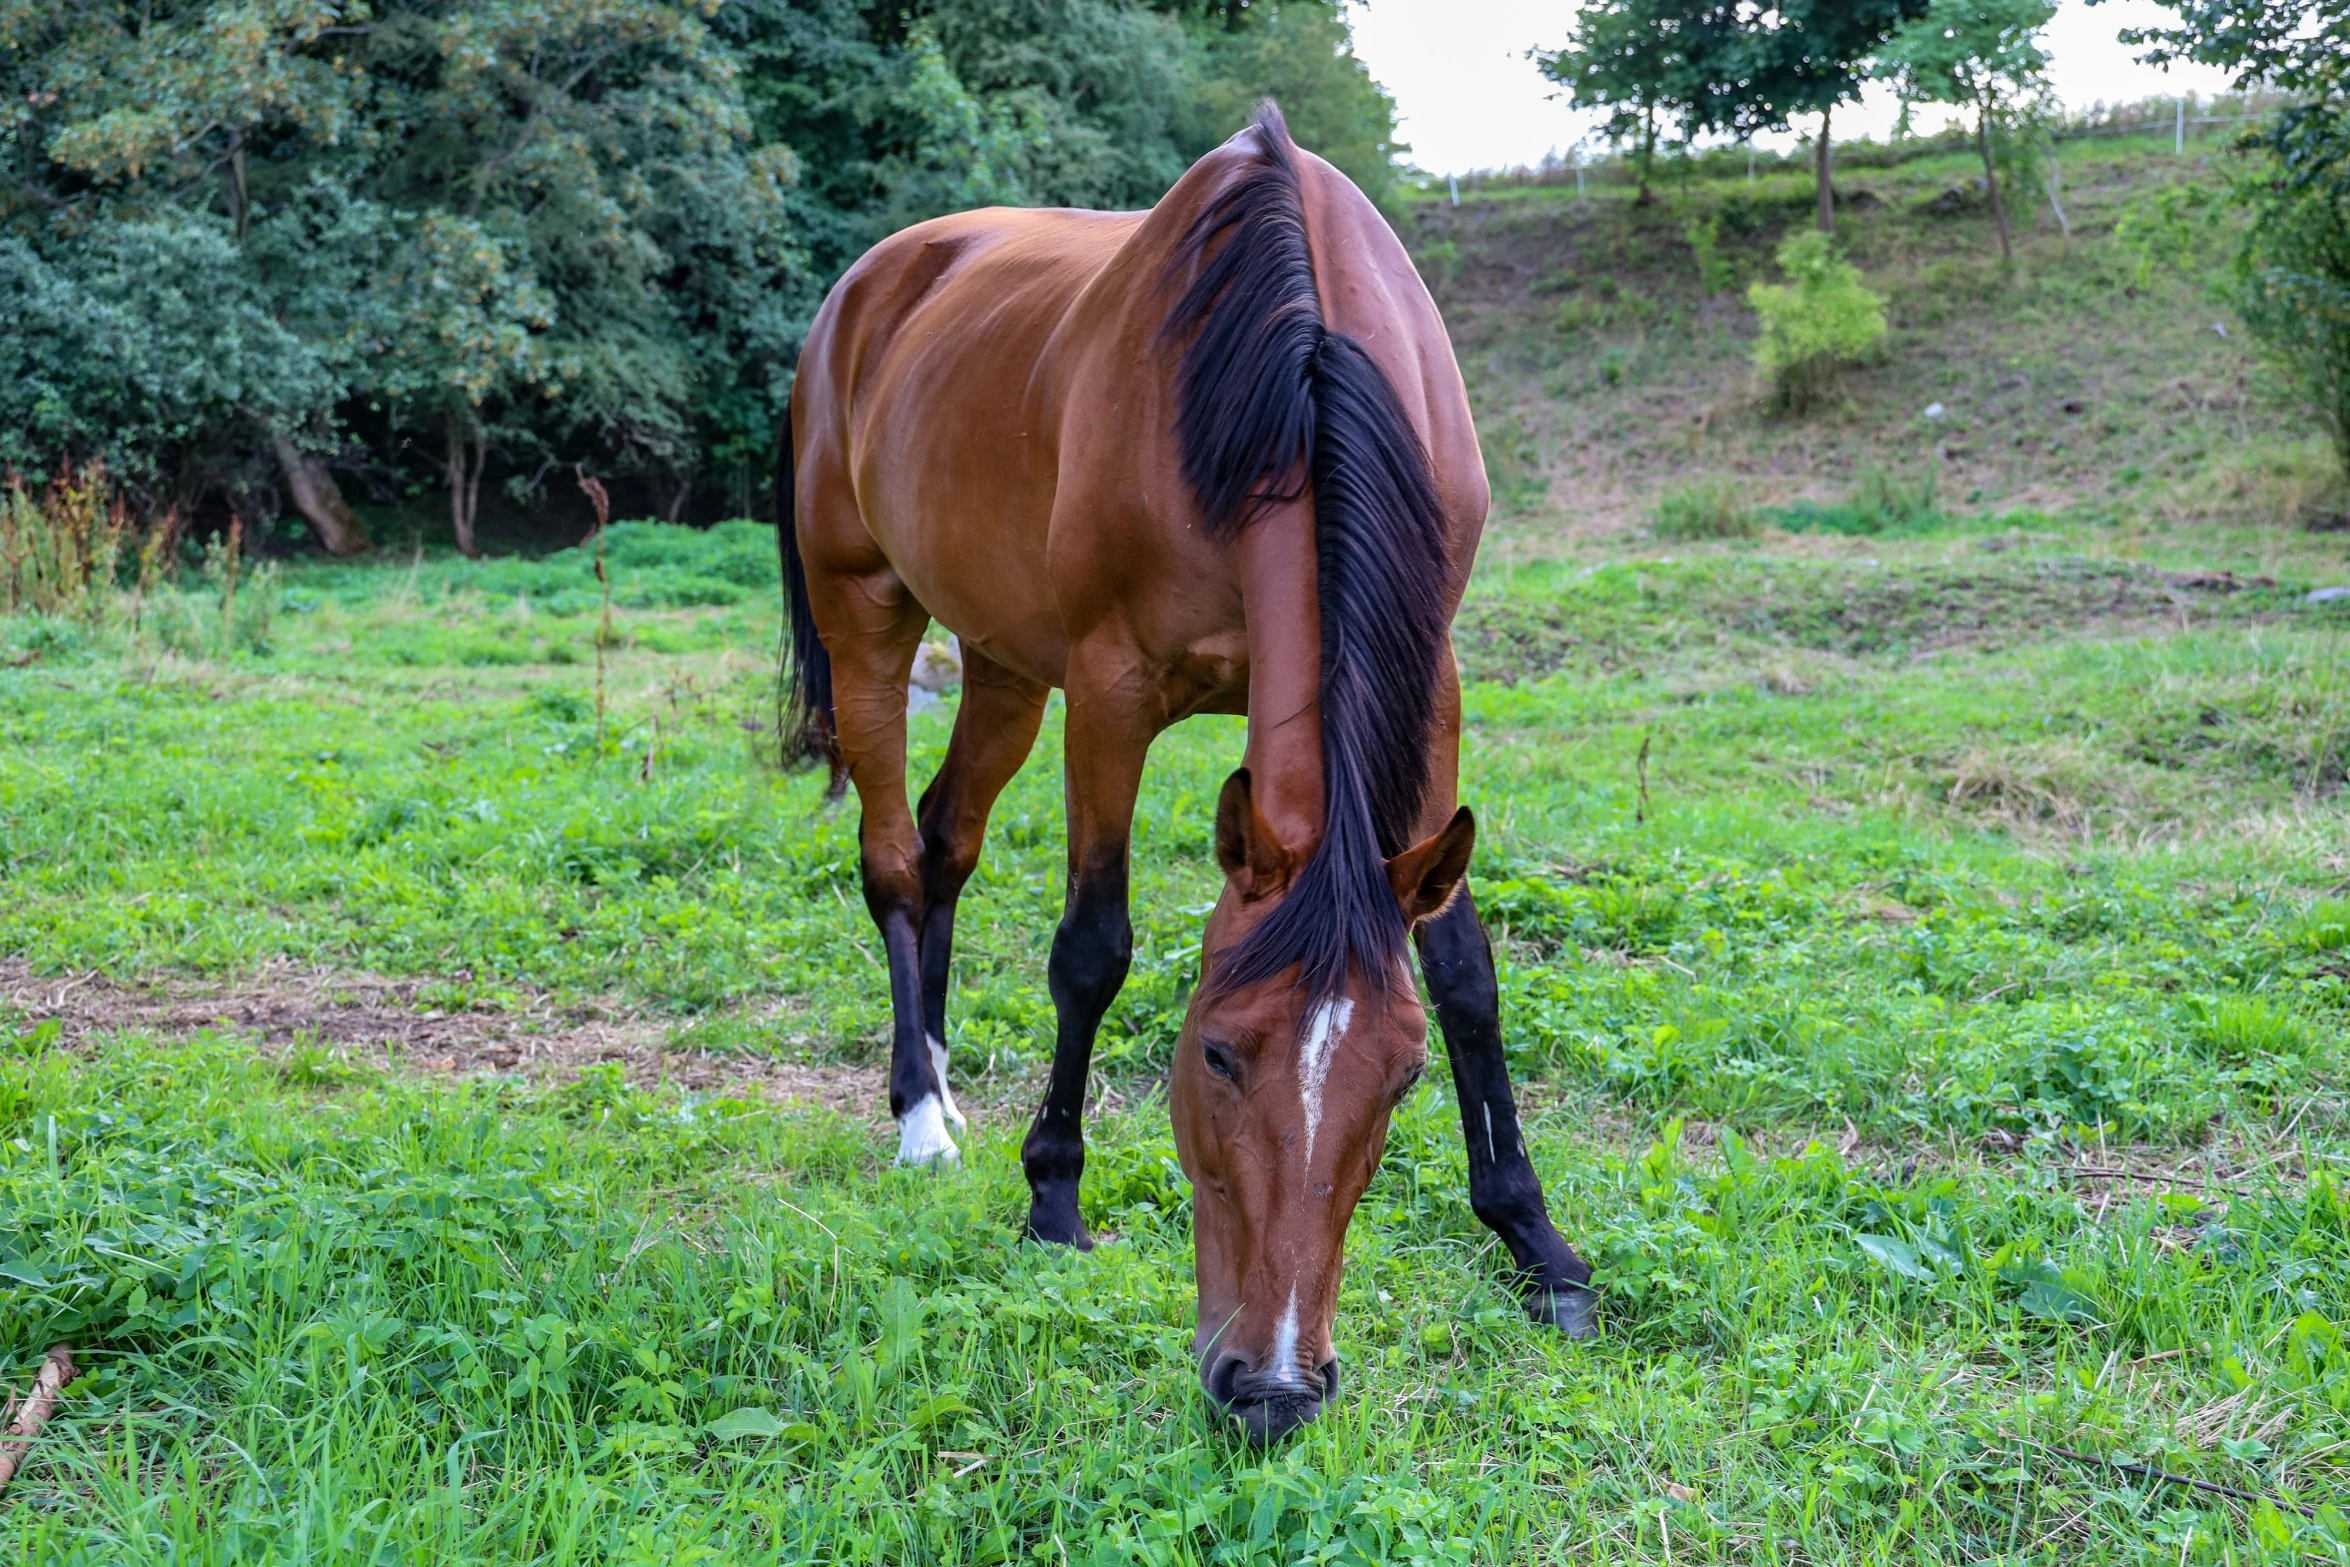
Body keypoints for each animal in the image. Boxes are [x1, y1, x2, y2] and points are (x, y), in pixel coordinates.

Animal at [784, 103, 1597, 1437]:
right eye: (1214, 1051)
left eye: (1400, 1078)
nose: (1271, 1386)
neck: (1290, 369)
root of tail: (867, 286)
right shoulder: (1112, 690)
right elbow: (1090, 950)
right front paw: (1053, 1198)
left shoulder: (1428, 690)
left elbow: (1467, 976)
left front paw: (1537, 1244)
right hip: (871, 618)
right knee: (896, 859)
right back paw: (919, 1121)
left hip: (1003, 662)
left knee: (949, 843)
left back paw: (944, 1084)